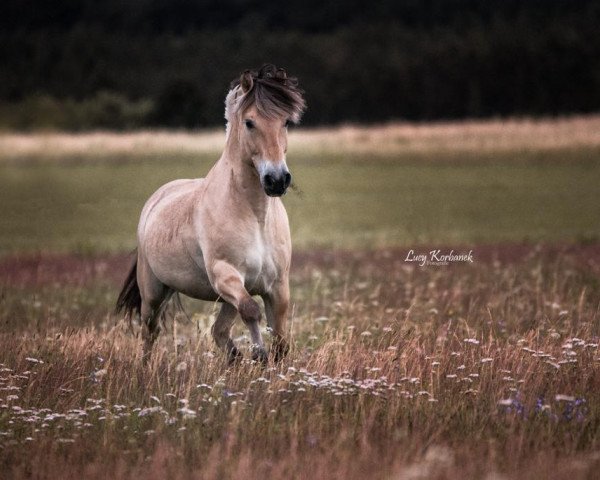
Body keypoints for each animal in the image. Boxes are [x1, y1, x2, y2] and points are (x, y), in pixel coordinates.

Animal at [115, 63, 308, 364]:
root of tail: (157, 198)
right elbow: (251, 311)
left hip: (225, 297)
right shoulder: (224, 274)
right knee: (150, 330)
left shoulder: (276, 286)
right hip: (154, 292)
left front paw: (268, 361)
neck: (255, 216)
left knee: (218, 331)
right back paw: (145, 367)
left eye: (286, 122)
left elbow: (280, 337)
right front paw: (259, 353)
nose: (276, 180)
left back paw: (234, 359)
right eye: (249, 122)